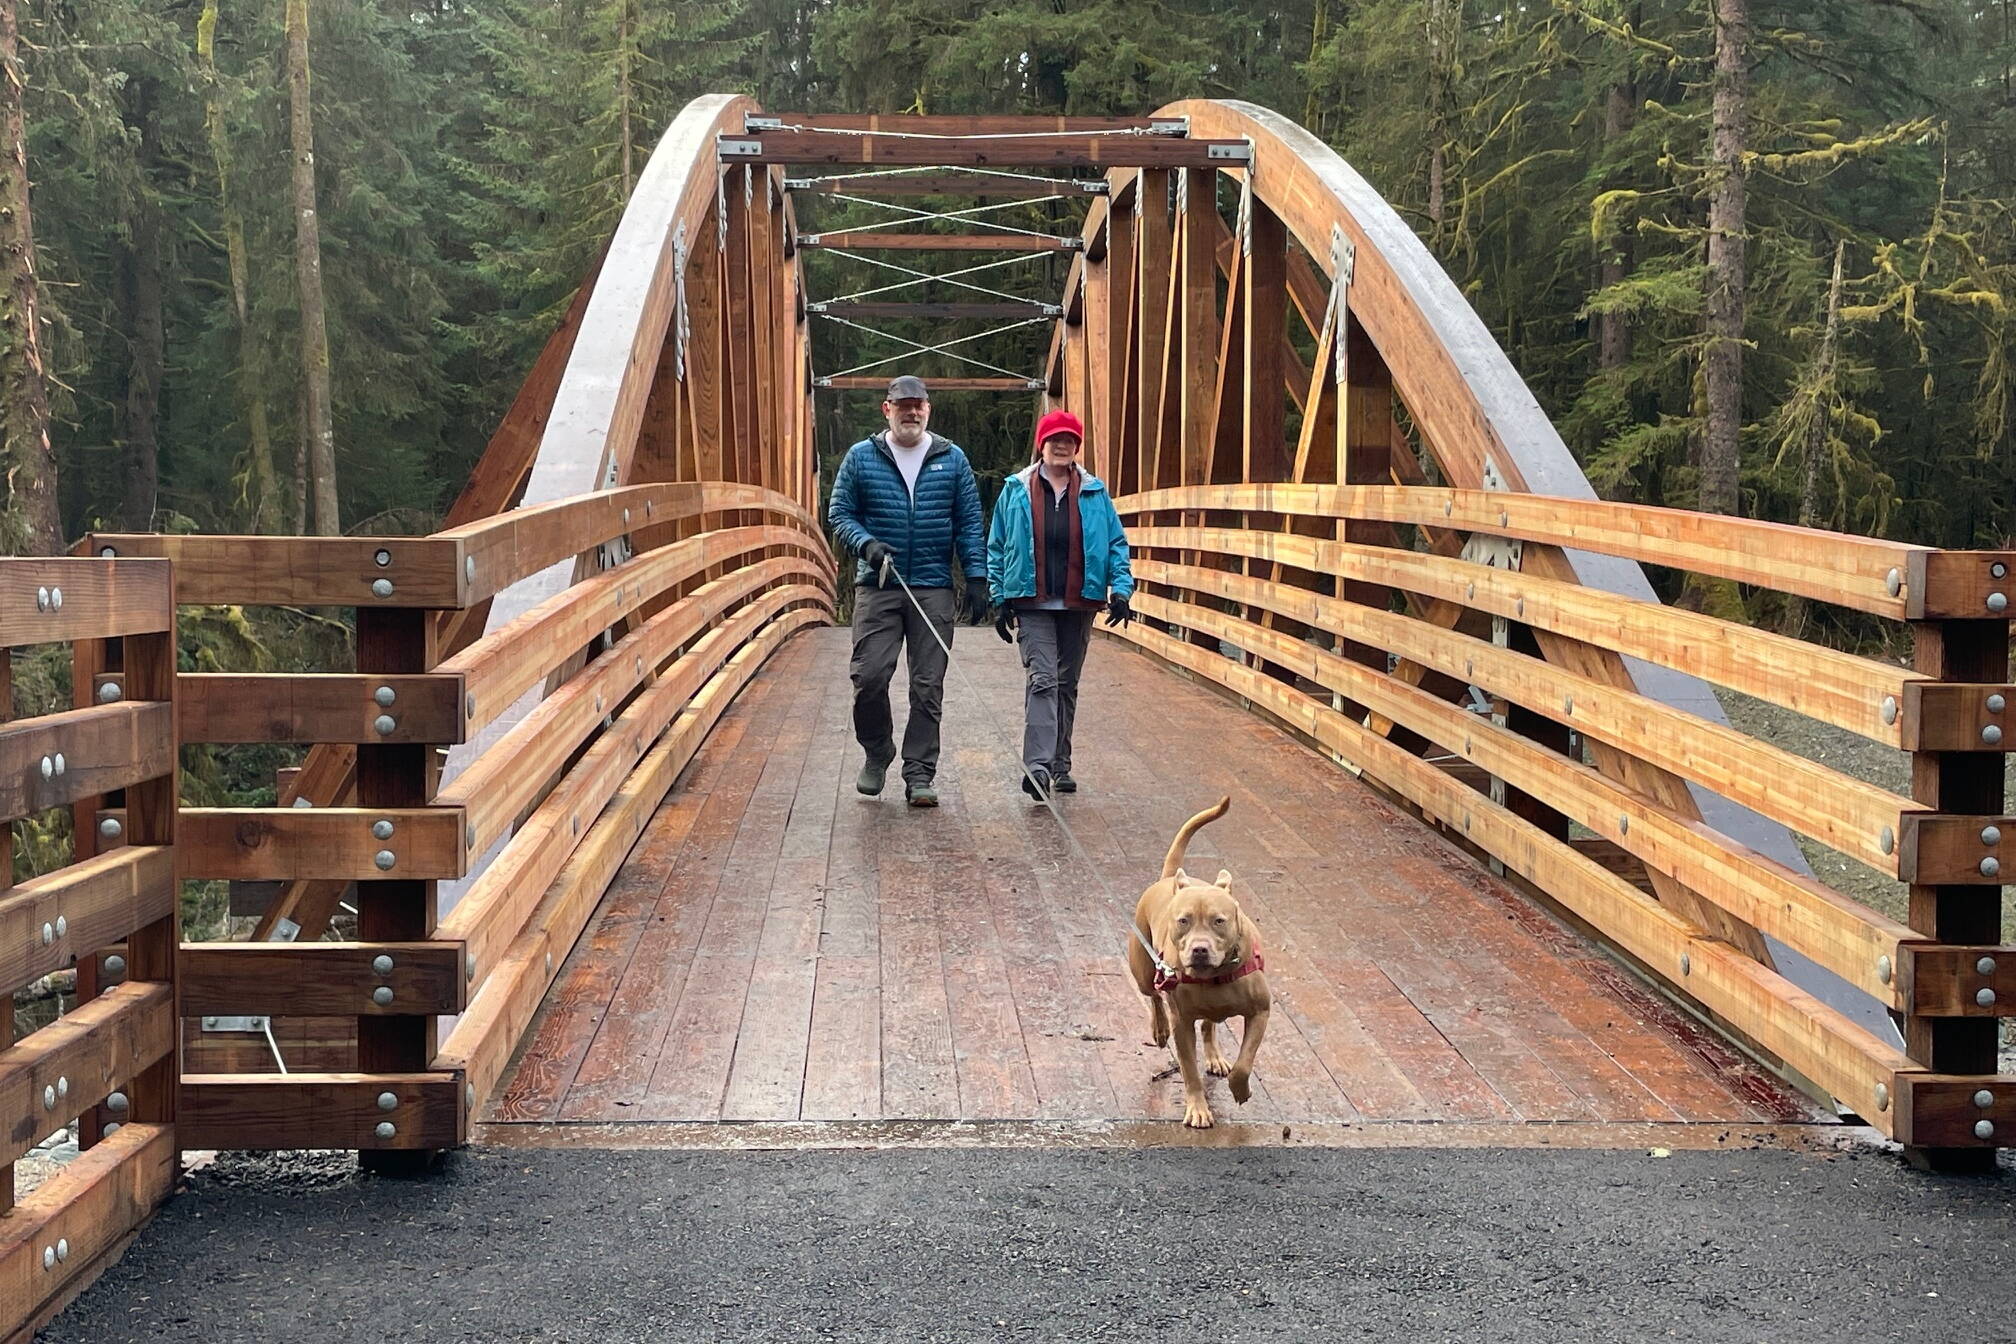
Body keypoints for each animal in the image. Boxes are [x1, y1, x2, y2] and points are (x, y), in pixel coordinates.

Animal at [1128, 805, 1266, 1128]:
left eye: (1219, 921)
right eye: (1183, 920)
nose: (1199, 949)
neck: (1215, 976)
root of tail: (1170, 880)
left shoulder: (1260, 1013)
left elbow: (1245, 1062)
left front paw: (1240, 1090)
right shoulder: (1182, 1024)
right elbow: (1189, 1069)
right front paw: (1198, 1109)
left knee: (1209, 1025)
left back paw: (1214, 1056)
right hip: (1142, 970)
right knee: (1155, 996)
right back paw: (1159, 1029)